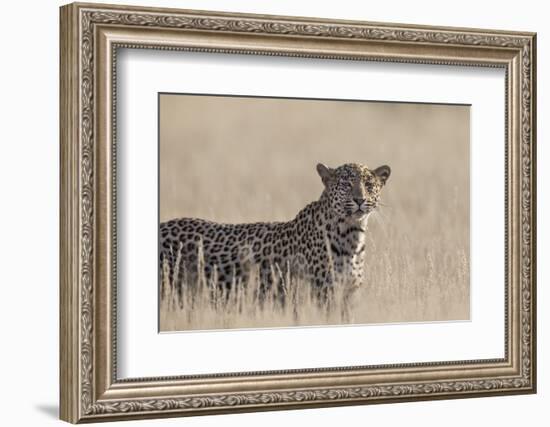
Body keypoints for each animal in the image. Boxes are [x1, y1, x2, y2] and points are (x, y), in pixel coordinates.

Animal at [160, 162, 392, 316]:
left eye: (369, 184)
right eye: (346, 184)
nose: (360, 199)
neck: (352, 236)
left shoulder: (349, 296)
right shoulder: (322, 296)